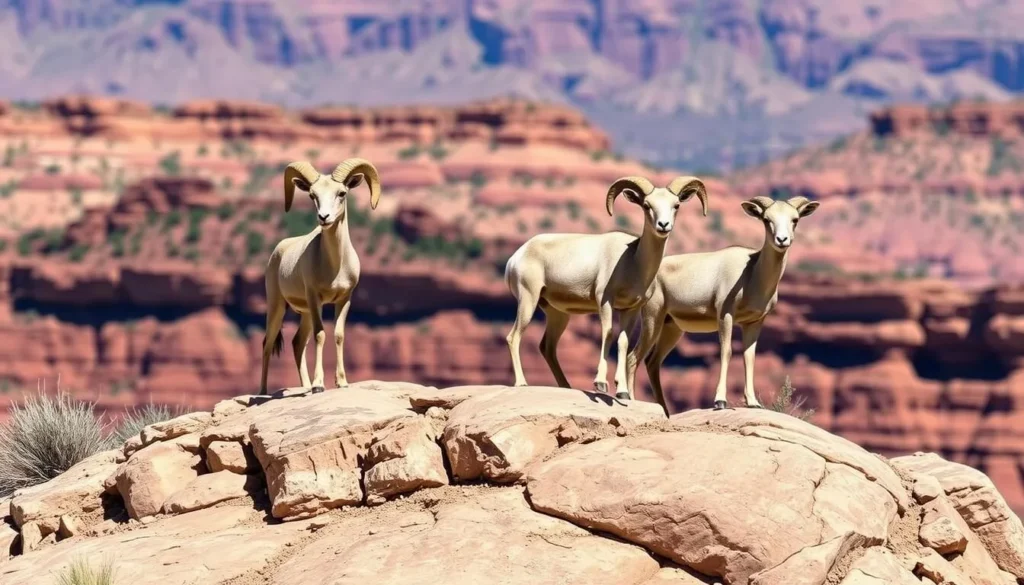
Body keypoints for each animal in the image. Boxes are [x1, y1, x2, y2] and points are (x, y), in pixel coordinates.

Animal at [259, 158, 381, 396]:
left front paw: (342, 382)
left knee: (297, 343)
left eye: (342, 193)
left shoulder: (344, 299)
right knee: (268, 344)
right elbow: (321, 335)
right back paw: (263, 392)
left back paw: (304, 387)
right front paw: (318, 385)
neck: (334, 267)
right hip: (277, 307)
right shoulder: (315, 299)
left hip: (304, 313)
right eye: (312, 195)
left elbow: (338, 335)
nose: (324, 218)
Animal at [504, 175, 709, 398]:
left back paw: (566, 386)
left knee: (547, 347)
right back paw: (522, 383)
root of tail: (515, 258)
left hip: (557, 313)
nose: (663, 225)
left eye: (676, 205)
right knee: (513, 337)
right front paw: (601, 384)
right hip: (528, 299)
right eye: (647, 205)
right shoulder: (605, 301)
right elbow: (608, 334)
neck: (633, 263)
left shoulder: (631, 309)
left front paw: (623, 392)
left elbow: (622, 341)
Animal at [623, 195, 820, 415]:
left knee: (652, 362)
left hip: (672, 328)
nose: (782, 240)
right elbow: (727, 352)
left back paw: (665, 411)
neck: (752, 274)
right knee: (633, 357)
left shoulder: (754, 322)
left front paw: (753, 402)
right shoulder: (725, 315)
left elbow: (749, 356)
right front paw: (720, 401)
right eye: (766, 219)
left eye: (795, 219)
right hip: (653, 318)